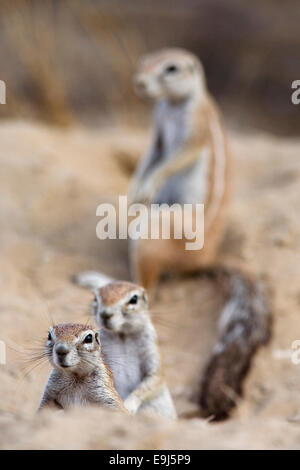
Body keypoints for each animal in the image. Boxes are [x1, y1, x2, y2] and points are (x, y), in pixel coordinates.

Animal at [92, 280, 177, 418]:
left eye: (134, 299)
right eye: (95, 298)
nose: (105, 314)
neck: (123, 335)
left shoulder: (151, 351)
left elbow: (153, 380)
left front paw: (129, 405)